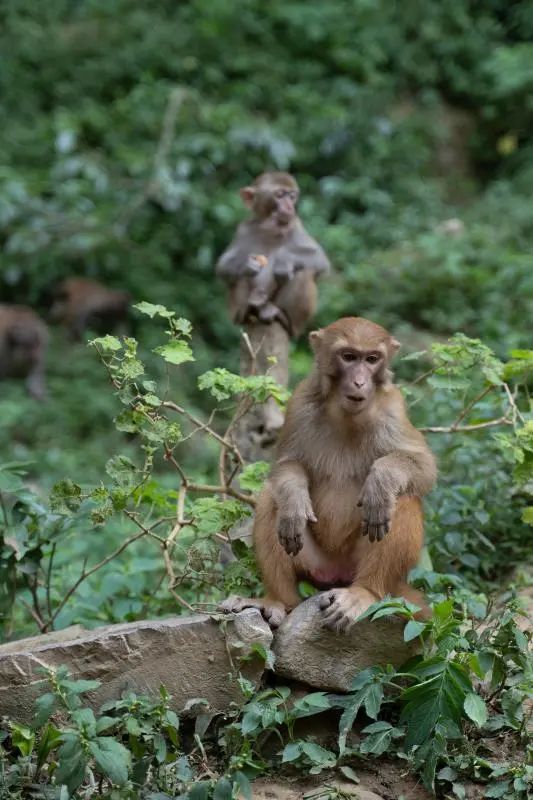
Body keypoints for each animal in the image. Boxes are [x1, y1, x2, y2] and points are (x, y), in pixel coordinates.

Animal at [215, 172, 328, 338]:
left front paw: (283, 263)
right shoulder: (244, 229)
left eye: (292, 196)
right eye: (279, 195)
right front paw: (247, 264)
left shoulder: (296, 224)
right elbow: (223, 266)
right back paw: (247, 310)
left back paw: (282, 317)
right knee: (238, 277)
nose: (289, 206)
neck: (270, 231)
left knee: (304, 272)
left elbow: (320, 259)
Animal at [220, 316, 436, 636]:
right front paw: (294, 498)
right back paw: (277, 600)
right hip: (314, 563)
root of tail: (336, 574)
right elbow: (286, 464)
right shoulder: (300, 401)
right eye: (348, 357)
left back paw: (364, 592)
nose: (359, 381)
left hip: (361, 568)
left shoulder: (393, 409)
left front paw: (380, 481)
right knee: (272, 497)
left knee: (403, 498)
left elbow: (423, 467)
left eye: (372, 359)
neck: (346, 414)